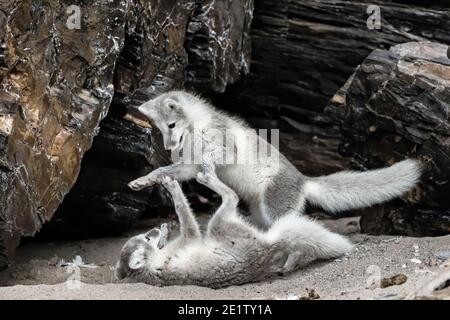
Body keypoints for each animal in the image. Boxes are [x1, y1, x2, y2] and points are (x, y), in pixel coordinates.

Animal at [115, 170, 352, 288]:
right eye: (147, 238)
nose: (156, 229)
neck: (149, 266)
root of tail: (267, 247)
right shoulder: (191, 235)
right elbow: (182, 208)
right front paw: (173, 189)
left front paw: (166, 226)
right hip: (217, 222)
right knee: (233, 196)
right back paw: (204, 179)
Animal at [127, 91, 422, 229]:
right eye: (160, 130)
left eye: (172, 125)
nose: (169, 146)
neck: (197, 131)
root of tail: (304, 180)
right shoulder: (188, 166)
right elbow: (163, 170)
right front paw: (141, 181)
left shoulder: (226, 149)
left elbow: (212, 158)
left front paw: (209, 170)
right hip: (262, 214)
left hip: (275, 210)